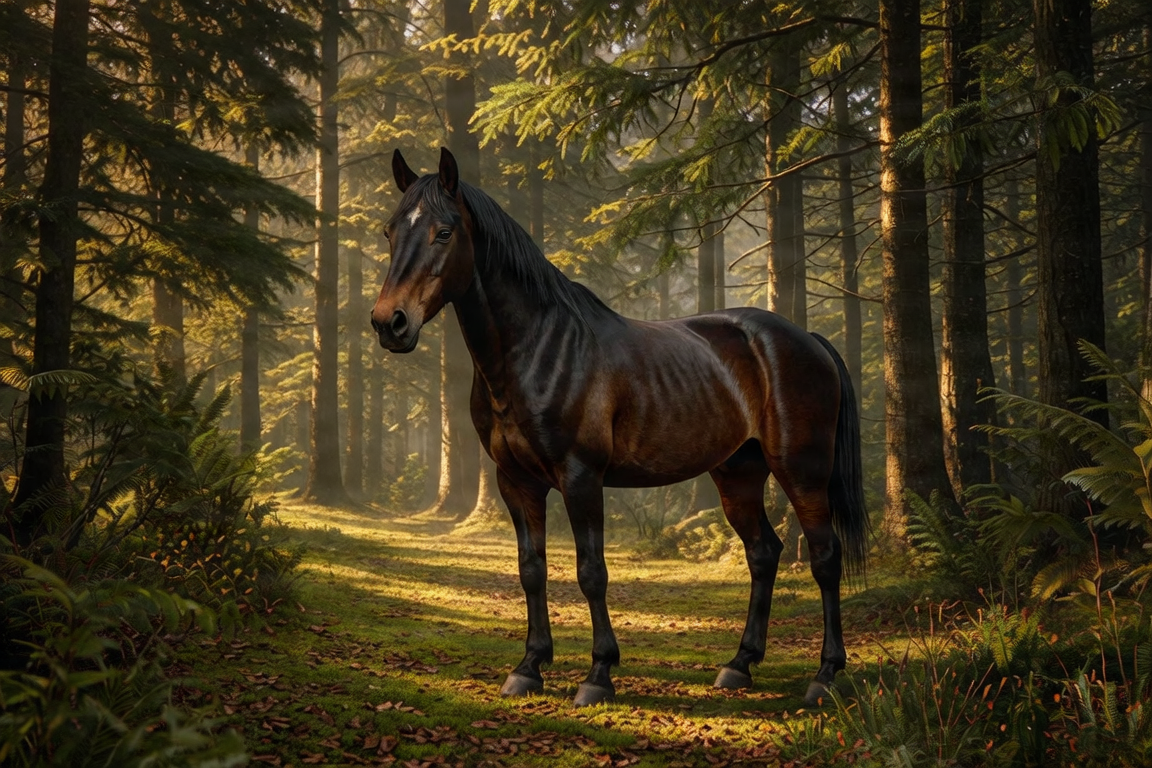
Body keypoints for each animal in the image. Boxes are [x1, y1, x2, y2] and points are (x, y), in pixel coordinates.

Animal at [371, 147, 869, 708]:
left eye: (444, 232)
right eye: (390, 231)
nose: (390, 323)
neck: (536, 348)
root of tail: (807, 340)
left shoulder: (581, 477)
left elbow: (591, 572)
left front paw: (598, 674)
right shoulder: (515, 482)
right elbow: (531, 570)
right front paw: (528, 667)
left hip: (802, 472)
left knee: (825, 557)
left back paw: (825, 675)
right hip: (738, 474)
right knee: (763, 553)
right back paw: (739, 664)